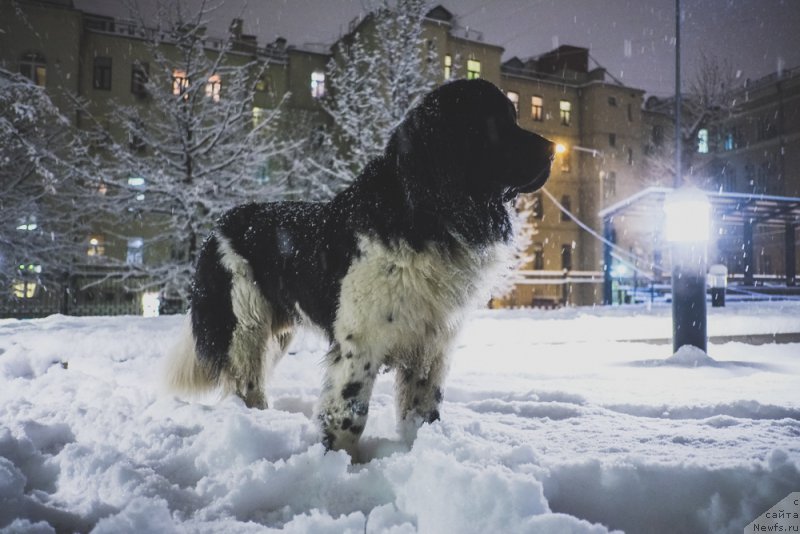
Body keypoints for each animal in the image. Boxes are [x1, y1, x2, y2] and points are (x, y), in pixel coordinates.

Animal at [167, 79, 556, 460]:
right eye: (497, 125)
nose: (553, 148)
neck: (427, 214)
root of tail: (221, 223)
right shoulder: (361, 342)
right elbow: (349, 413)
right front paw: (341, 463)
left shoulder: (432, 342)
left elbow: (422, 409)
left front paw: (419, 449)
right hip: (244, 322)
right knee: (245, 382)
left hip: (276, 331)